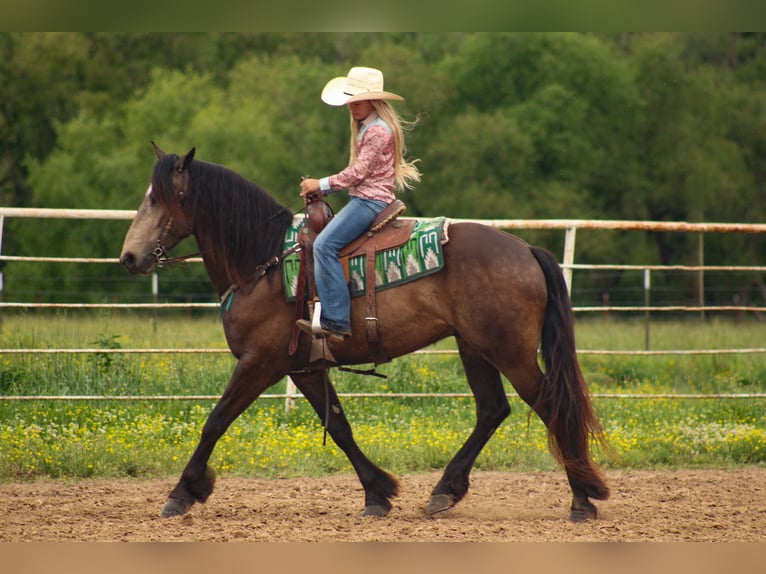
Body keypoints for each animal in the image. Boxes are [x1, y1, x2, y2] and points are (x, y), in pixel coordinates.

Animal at [119, 144, 610, 522]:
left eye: (160, 199)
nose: (129, 257)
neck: (264, 264)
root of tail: (525, 248)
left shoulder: (260, 363)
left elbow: (215, 420)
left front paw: (183, 492)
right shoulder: (303, 368)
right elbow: (339, 426)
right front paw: (377, 493)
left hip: (509, 352)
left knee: (550, 405)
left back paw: (582, 499)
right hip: (475, 347)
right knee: (492, 410)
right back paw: (445, 491)